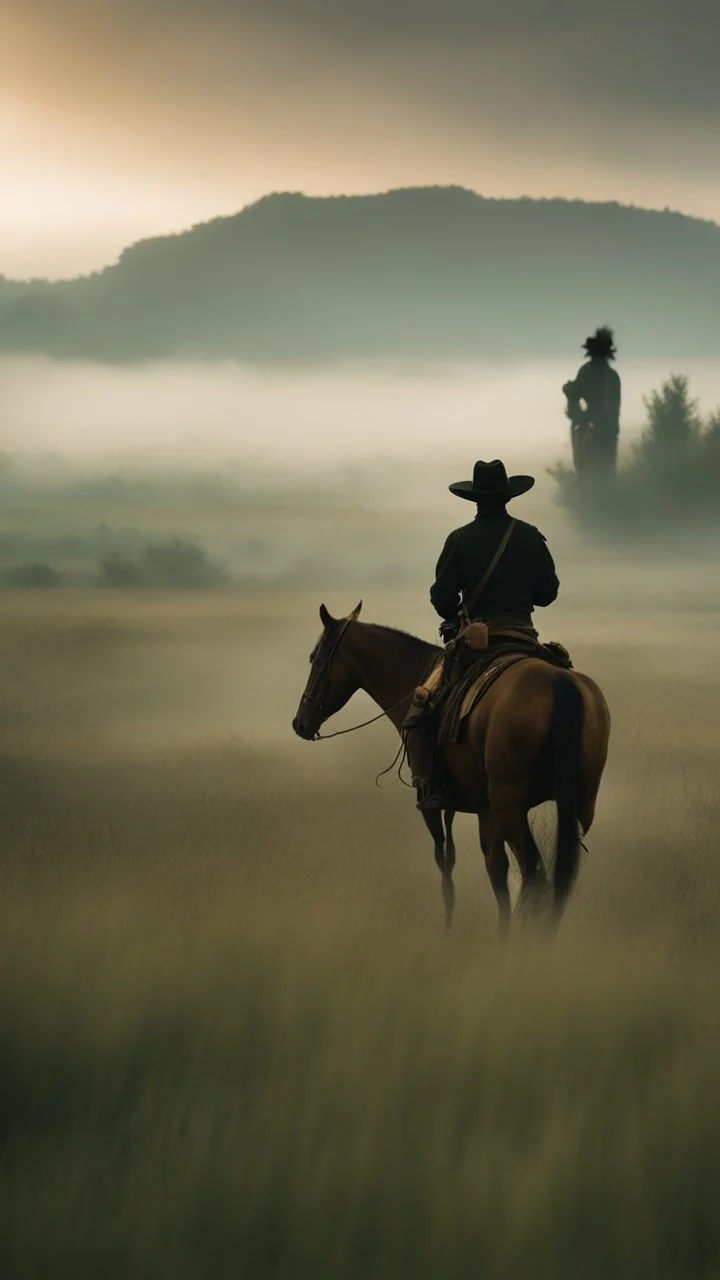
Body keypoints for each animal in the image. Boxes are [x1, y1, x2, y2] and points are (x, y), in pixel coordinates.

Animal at [292, 599, 609, 931]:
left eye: (316, 658)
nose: (299, 722)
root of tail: (559, 683)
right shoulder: (484, 811)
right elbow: (496, 872)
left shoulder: (431, 802)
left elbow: (446, 871)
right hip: (576, 808)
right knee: (558, 882)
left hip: (510, 805)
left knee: (535, 877)